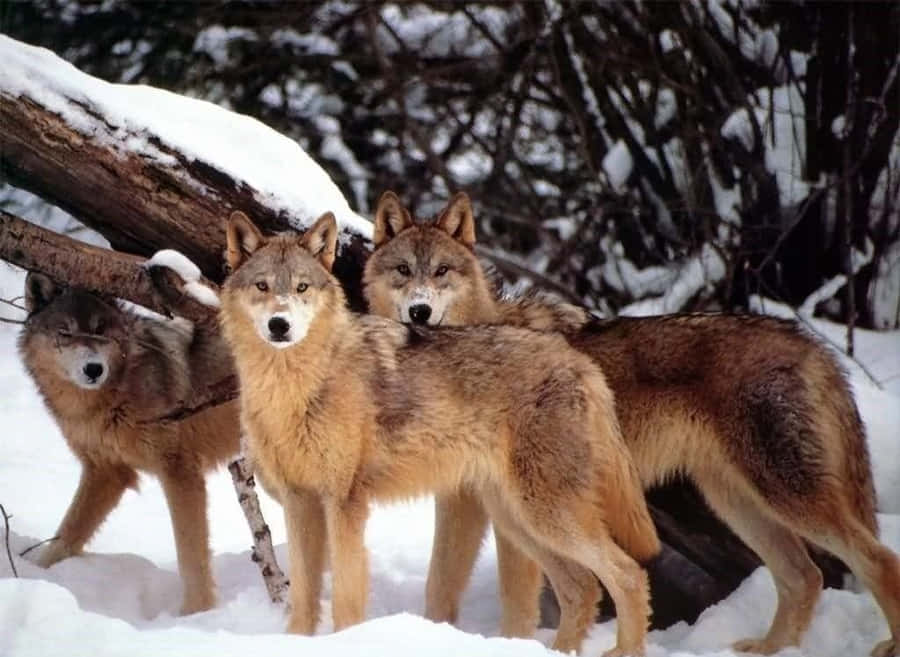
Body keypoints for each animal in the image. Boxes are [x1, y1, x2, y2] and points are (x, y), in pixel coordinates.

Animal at [18, 273, 240, 614]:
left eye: (99, 330)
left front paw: (196, 613)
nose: (93, 369)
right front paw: (36, 575)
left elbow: (190, 553)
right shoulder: (106, 472)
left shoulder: (180, 472)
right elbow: (66, 535)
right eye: (65, 333)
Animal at [219, 209, 660, 656]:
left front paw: (348, 641)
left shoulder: (345, 504)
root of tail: (578, 361)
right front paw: (295, 643)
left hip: (546, 514)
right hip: (518, 518)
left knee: (628, 573)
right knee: (582, 587)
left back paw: (624, 650)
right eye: (262, 286)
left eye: (301, 288)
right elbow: (304, 599)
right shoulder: (299, 503)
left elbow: (345, 596)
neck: (296, 388)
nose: (279, 324)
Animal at [362, 191, 900, 657]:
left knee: (876, 559)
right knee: (804, 576)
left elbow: (515, 601)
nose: (419, 311)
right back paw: (769, 650)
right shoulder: (465, 502)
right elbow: (439, 587)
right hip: (737, 503)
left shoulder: (497, 514)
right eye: (404, 271)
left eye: (442, 271)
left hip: (785, 497)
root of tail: (809, 342)